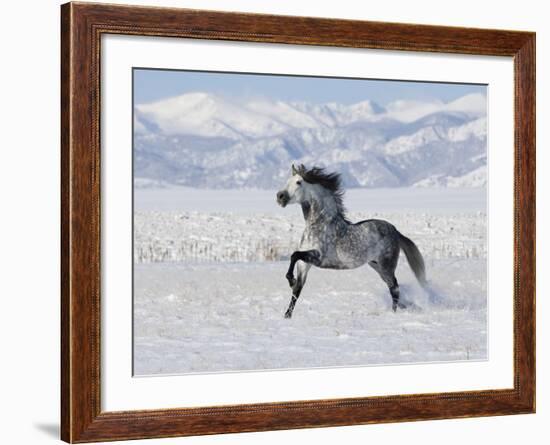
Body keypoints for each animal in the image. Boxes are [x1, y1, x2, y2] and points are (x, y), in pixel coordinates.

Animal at [278, 165, 430, 318]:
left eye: (298, 182)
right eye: (287, 181)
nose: (280, 196)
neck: (319, 224)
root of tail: (395, 230)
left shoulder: (318, 257)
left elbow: (294, 255)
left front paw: (291, 279)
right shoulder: (305, 264)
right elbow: (297, 289)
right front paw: (287, 314)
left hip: (386, 266)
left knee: (394, 288)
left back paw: (393, 312)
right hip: (376, 265)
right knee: (392, 286)